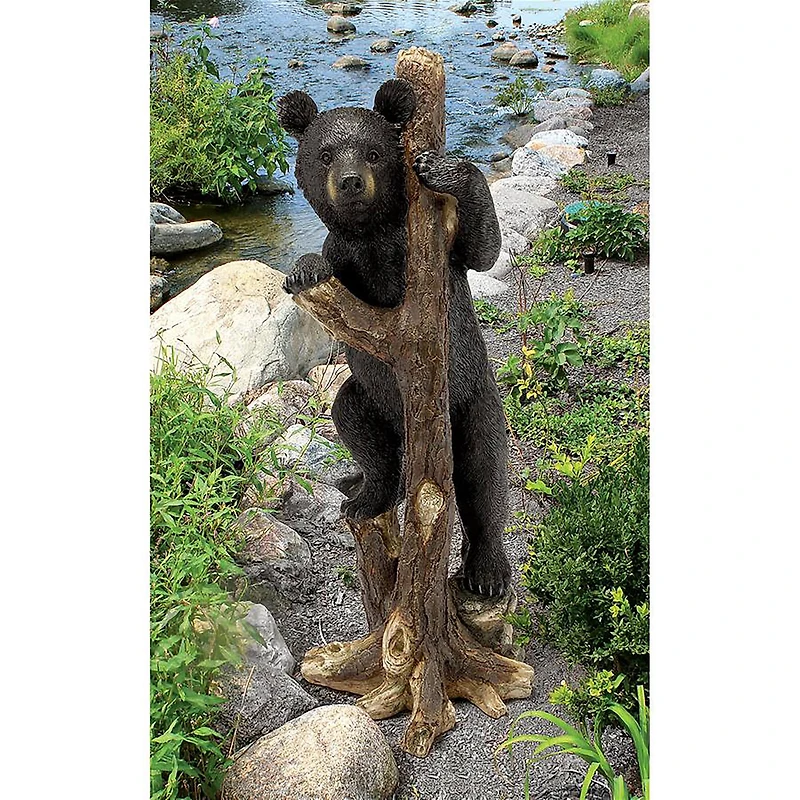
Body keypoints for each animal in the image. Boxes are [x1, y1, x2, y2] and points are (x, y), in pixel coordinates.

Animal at [277, 79, 512, 597]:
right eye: (325, 154)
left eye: (373, 152)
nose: (350, 181)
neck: (373, 234)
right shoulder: (350, 257)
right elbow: (331, 280)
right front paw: (303, 269)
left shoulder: (436, 248)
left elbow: (482, 247)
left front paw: (443, 167)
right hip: (373, 398)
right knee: (356, 424)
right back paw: (364, 495)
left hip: (472, 399)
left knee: (485, 473)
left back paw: (487, 571)